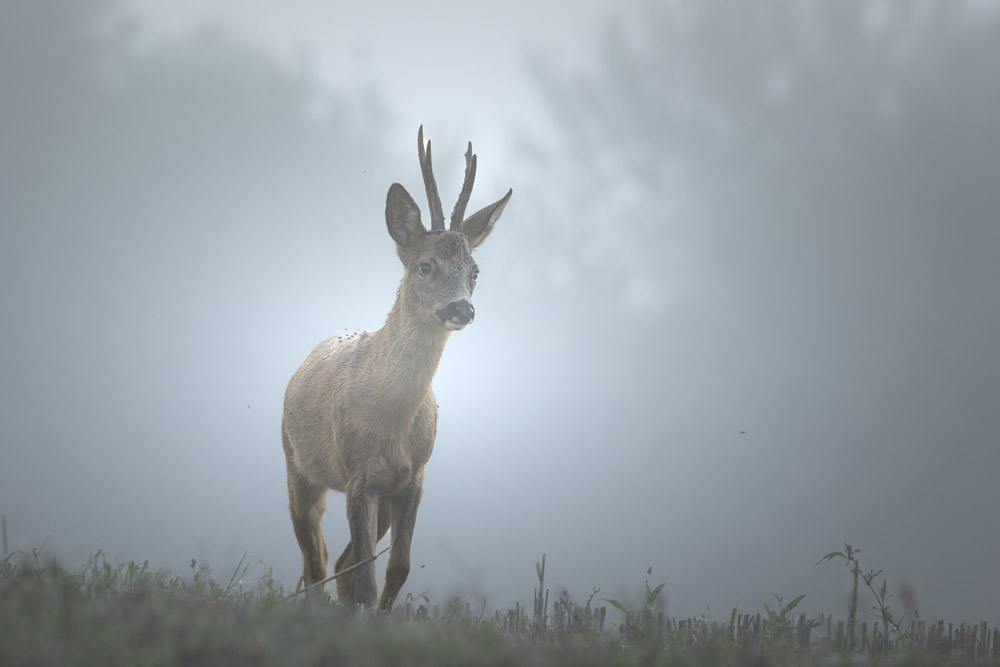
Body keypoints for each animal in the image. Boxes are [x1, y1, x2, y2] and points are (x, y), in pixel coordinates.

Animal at [284, 128, 512, 612]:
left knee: (336, 563)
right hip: (297, 465)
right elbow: (366, 579)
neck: (392, 418)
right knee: (316, 559)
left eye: (475, 271)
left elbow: (397, 569)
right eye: (426, 265)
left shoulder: (414, 477)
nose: (463, 309)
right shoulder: (358, 475)